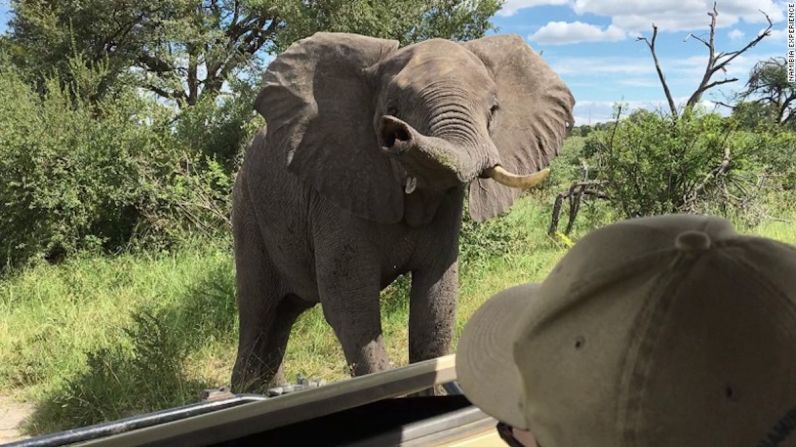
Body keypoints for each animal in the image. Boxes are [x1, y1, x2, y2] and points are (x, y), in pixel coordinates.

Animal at [230, 31, 572, 392]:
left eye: (493, 110)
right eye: (392, 110)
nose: (397, 133)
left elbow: (437, 299)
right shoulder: (339, 191)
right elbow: (350, 306)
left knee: (282, 315)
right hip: (249, 210)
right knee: (258, 311)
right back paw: (248, 391)